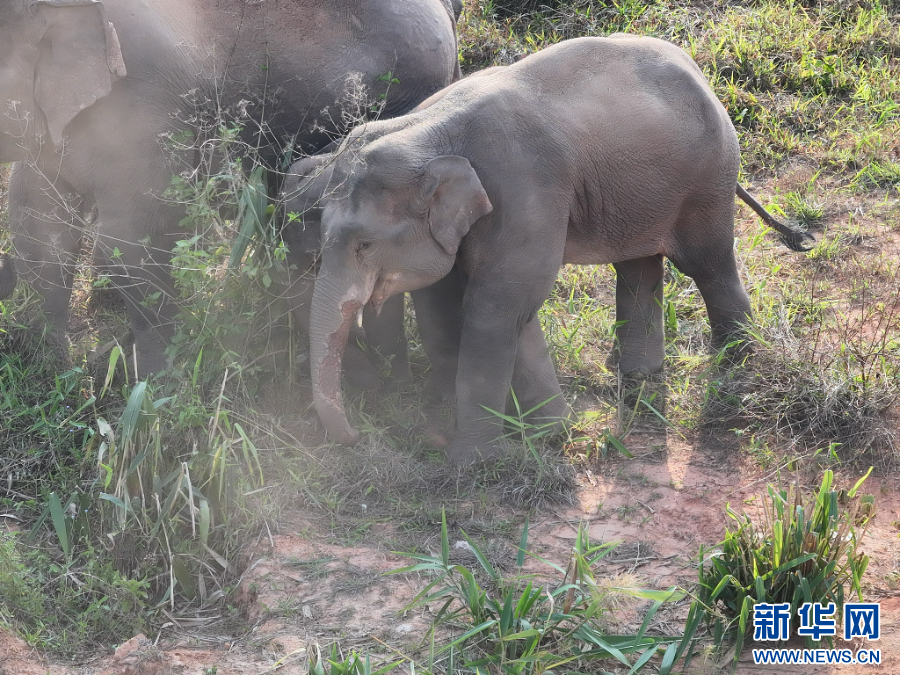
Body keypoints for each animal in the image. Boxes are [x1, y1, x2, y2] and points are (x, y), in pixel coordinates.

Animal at [300, 35, 815, 463]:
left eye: (365, 244)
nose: (356, 436)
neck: (426, 130)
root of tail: (700, 73)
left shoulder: (524, 190)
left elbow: (495, 306)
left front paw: (472, 461)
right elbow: (459, 300)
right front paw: (544, 430)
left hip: (707, 176)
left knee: (707, 264)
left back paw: (736, 362)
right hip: (643, 188)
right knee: (638, 268)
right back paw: (636, 377)